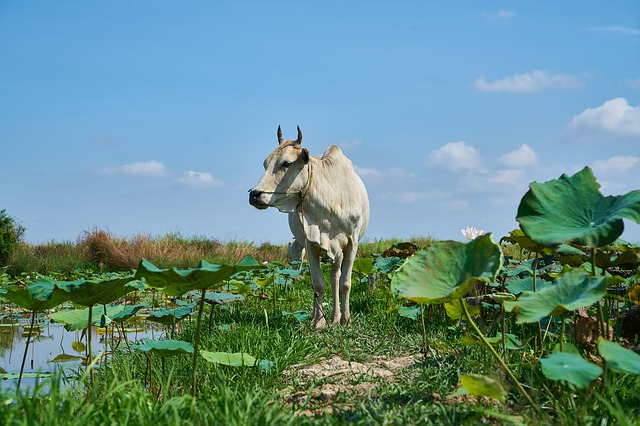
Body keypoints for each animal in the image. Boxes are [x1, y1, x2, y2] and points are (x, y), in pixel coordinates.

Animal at [250, 125, 370, 328]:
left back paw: (336, 317)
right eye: (265, 163)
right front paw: (319, 322)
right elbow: (318, 285)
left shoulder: (352, 242)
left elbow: (345, 284)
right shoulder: (311, 243)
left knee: (335, 277)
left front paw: (345, 319)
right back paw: (322, 316)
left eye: (286, 163)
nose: (255, 194)